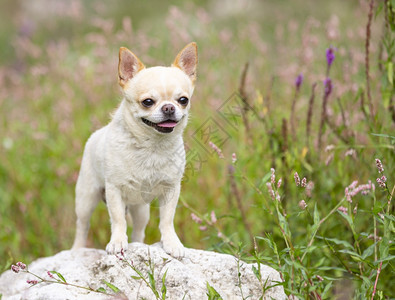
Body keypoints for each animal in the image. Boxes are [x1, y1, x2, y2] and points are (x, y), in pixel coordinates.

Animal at [71, 42, 198, 258]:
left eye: (183, 100)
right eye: (147, 102)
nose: (169, 108)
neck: (152, 146)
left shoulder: (171, 190)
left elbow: (167, 220)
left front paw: (172, 243)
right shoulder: (114, 190)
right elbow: (118, 220)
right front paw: (117, 242)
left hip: (140, 209)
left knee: (139, 229)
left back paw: (139, 245)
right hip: (86, 199)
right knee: (82, 225)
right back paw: (77, 249)